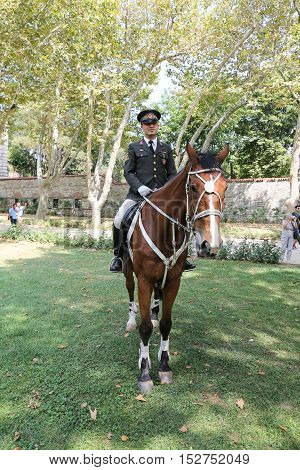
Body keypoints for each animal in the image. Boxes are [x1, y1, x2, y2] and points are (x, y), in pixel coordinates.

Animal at [123, 142, 229, 392]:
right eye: (192, 187)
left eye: (226, 187)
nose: (211, 245)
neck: (163, 227)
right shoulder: (144, 279)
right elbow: (144, 328)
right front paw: (144, 373)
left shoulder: (173, 280)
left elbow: (165, 324)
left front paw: (164, 365)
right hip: (128, 271)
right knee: (130, 293)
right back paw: (131, 322)